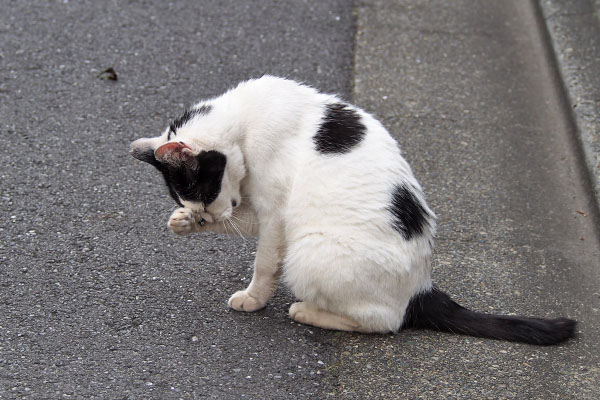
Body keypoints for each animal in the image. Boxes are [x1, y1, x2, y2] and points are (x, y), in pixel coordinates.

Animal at [130, 76, 576, 346]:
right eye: (187, 199)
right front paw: (182, 224)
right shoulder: (260, 210)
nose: (204, 216)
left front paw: (253, 299)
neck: (245, 121)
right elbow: (242, 221)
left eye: (204, 191)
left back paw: (307, 311)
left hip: (309, 251)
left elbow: (264, 263)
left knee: (385, 322)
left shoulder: (277, 215)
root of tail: (422, 288)